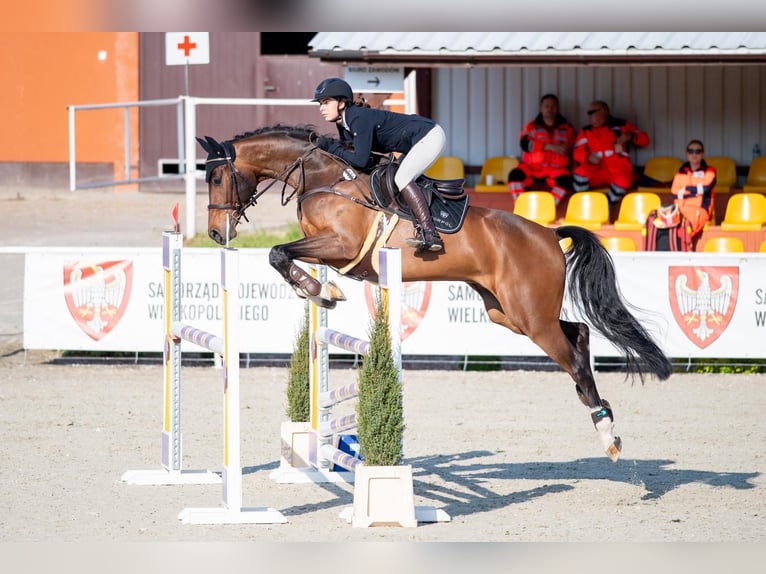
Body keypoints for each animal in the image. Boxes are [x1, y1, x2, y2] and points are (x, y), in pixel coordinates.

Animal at [196, 124, 673, 462]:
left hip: (530, 315)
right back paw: (603, 418)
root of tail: (549, 234)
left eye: (217, 177)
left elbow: (277, 252)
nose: (216, 234)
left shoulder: (341, 245)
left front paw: (319, 290)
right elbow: (282, 256)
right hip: (508, 312)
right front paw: (321, 290)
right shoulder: (328, 248)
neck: (323, 176)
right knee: (578, 333)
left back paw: (607, 435)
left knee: (572, 355)